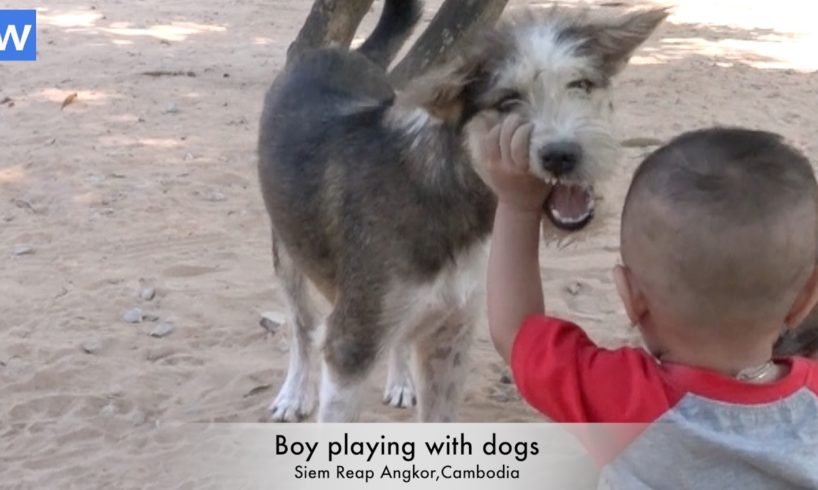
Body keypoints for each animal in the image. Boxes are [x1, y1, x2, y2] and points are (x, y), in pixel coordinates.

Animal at [258, 0, 668, 422]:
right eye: (507, 101)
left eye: (581, 85)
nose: (562, 155)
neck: (444, 189)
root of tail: (336, 52)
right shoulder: (350, 345)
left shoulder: (451, 334)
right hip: (287, 254)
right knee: (302, 327)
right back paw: (294, 393)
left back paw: (400, 380)